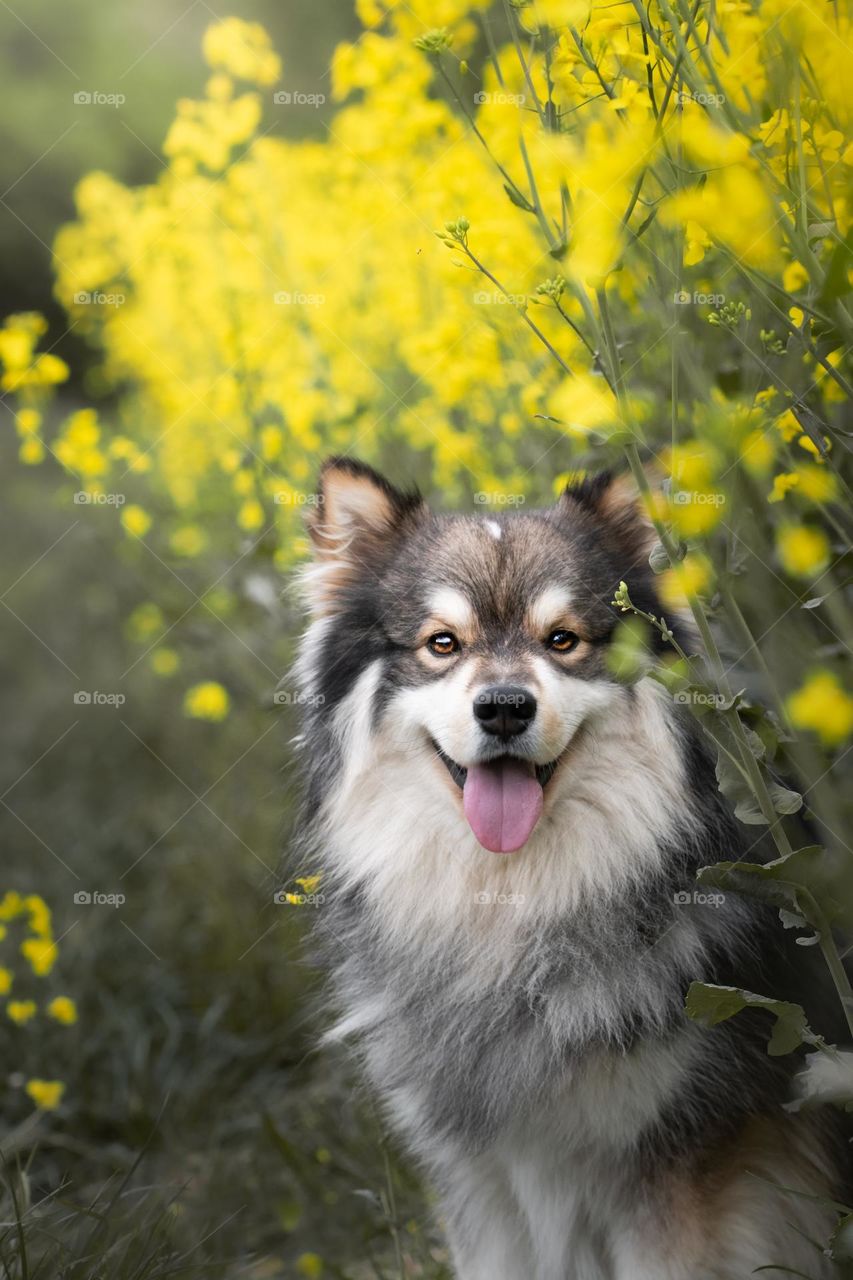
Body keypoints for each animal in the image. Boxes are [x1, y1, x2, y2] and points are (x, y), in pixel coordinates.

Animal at [290, 455, 845, 1274]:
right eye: (441, 644)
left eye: (562, 639)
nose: (503, 707)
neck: (511, 911)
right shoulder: (483, 1181)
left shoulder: (676, 1167)